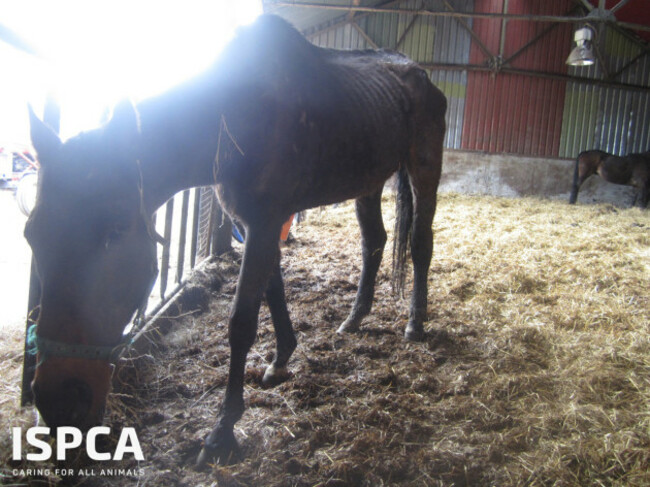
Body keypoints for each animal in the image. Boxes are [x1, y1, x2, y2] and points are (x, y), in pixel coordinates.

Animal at [25, 14, 446, 466]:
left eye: (117, 228)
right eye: (31, 235)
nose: (58, 400)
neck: (234, 113)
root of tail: (421, 76)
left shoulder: (264, 221)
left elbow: (242, 321)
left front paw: (222, 432)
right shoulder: (257, 222)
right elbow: (273, 289)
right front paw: (281, 359)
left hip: (423, 168)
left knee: (420, 243)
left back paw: (415, 323)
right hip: (367, 180)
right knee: (375, 242)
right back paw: (353, 319)